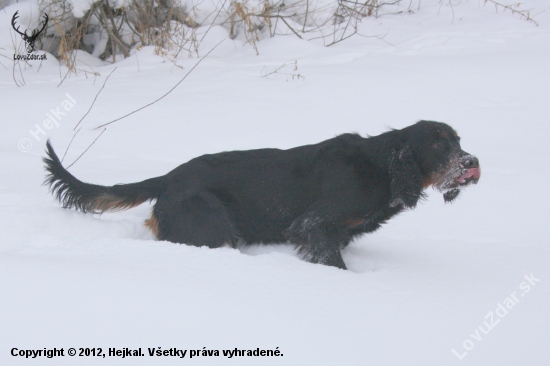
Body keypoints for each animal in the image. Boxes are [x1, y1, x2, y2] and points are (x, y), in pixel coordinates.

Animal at [43, 121, 480, 268]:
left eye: (458, 140)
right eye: (438, 144)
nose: (472, 161)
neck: (381, 167)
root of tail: (170, 177)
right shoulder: (313, 224)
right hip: (211, 222)